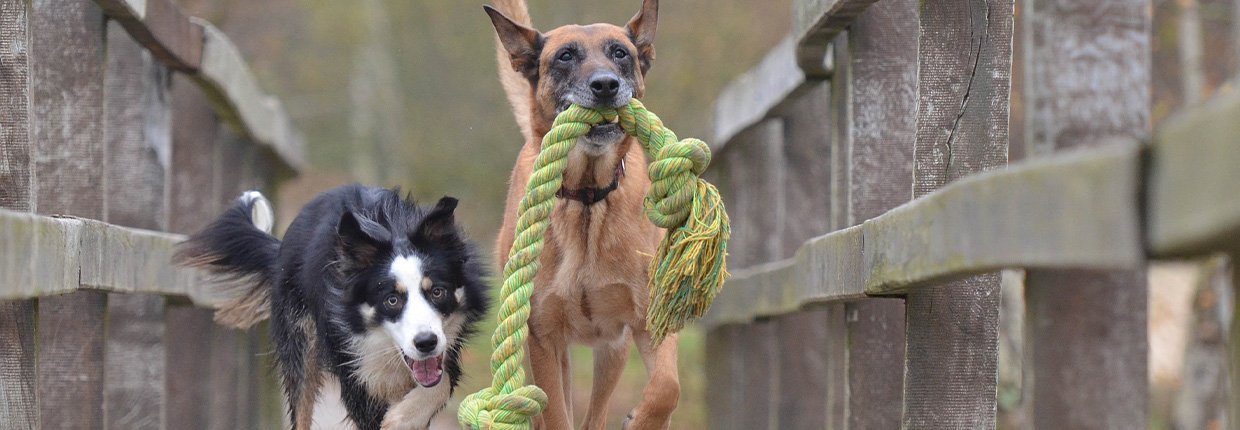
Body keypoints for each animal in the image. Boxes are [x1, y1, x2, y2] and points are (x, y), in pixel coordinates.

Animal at [179, 185, 488, 430]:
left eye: (437, 292)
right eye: (391, 300)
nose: (426, 342)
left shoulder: (447, 349)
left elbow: (440, 383)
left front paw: (401, 418)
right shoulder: (354, 370)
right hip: (300, 340)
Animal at [483, 1, 679, 428]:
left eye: (620, 53)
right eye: (565, 56)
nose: (605, 85)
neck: (588, 198)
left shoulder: (647, 319)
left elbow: (667, 387)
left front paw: (642, 419)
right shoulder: (543, 338)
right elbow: (555, 414)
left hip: (612, 351)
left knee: (598, 413)